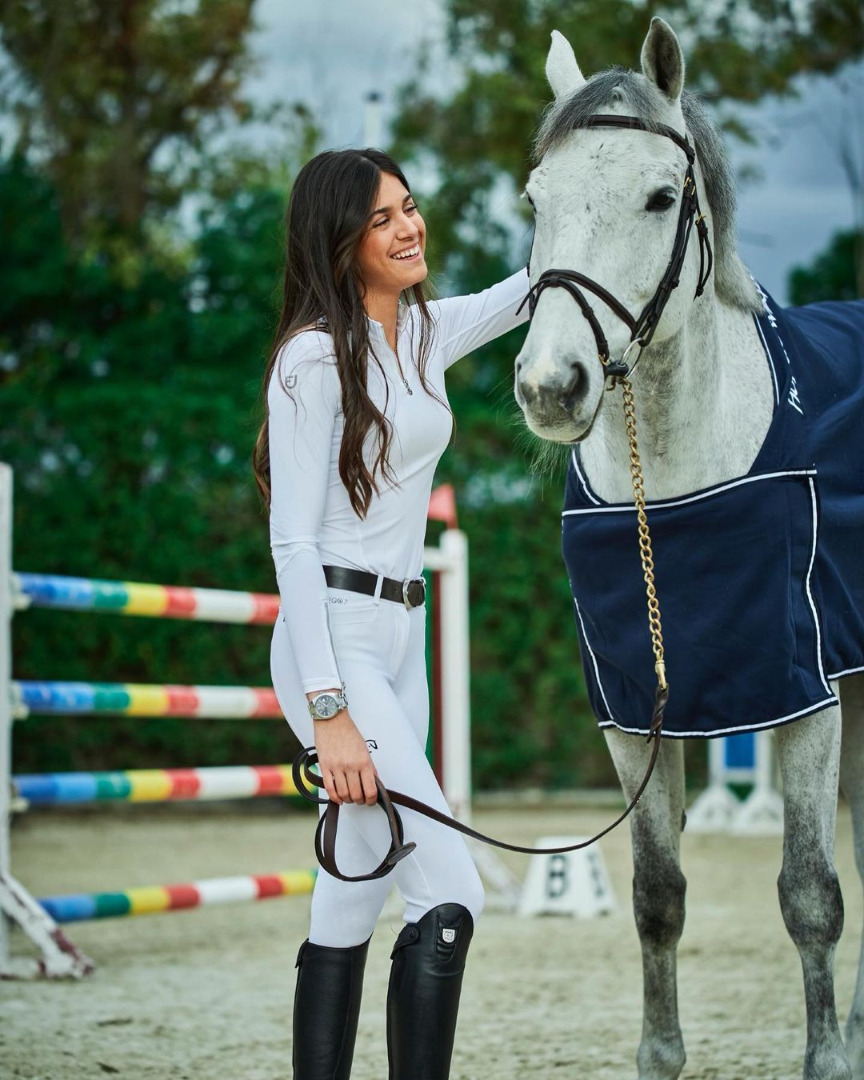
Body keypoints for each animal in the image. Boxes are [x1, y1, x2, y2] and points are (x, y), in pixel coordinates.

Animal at [514, 16, 864, 1080]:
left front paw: (826, 1057)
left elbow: (810, 893)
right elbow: (656, 897)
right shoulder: (635, 717)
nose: (551, 385)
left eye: (661, 197)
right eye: (536, 199)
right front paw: (661, 1054)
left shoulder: (803, 693)